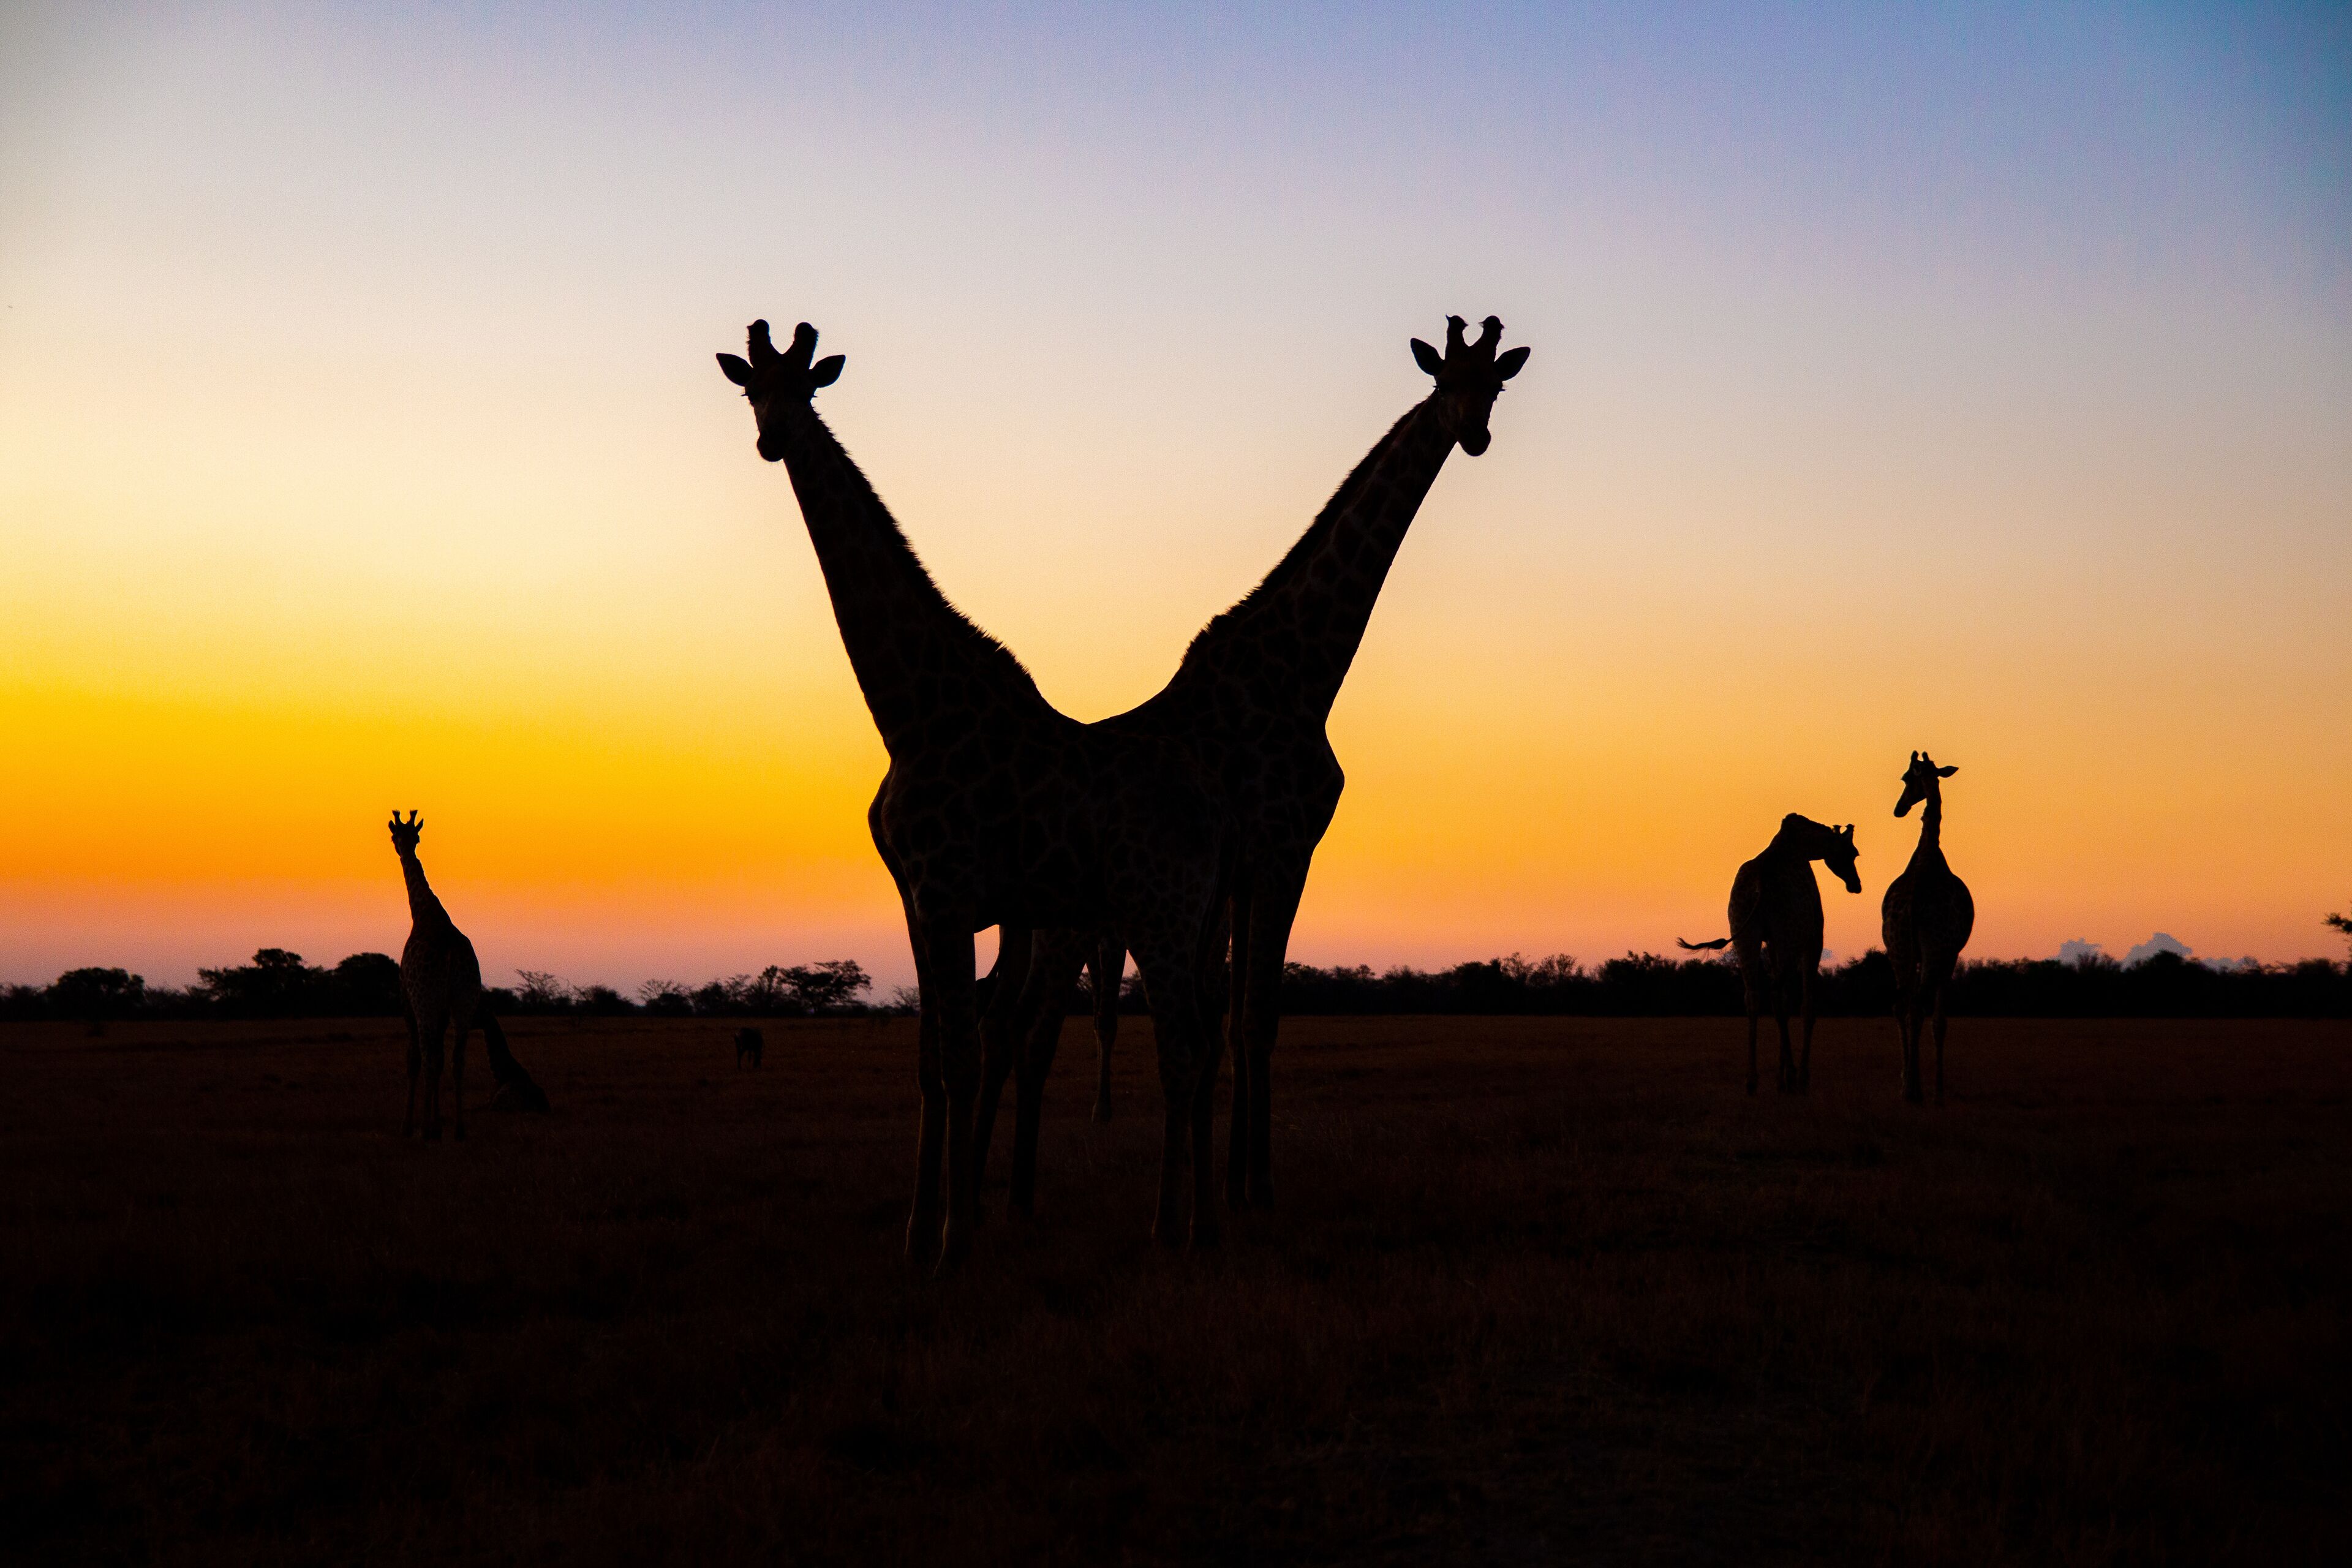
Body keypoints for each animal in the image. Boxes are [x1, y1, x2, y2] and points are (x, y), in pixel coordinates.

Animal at [389, 810, 548, 1140]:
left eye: (399, 836)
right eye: (407, 836)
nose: (401, 849)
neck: (423, 912)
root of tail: (450, 955)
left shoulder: (408, 1001)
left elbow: (415, 1060)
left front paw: (409, 1126)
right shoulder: (448, 1008)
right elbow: (440, 1061)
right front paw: (436, 1122)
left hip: (426, 1002)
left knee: (429, 1057)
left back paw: (426, 1130)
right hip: (465, 1003)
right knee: (456, 1060)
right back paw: (458, 1129)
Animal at [717, 320, 1227, 1268]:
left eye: (807, 389)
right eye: (750, 390)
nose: (774, 440)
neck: (911, 713)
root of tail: (1213, 815)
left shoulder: (952, 893)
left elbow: (959, 1055)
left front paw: (956, 1240)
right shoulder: (917, 900)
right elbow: (929, 1060)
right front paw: (918, 1234)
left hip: (1161, 912)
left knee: (1186, 1045)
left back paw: (1178, 1233)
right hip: (1168, 917)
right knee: (1197, 1040)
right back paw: (1192, 1228)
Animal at [981, 315, 1530, 1219]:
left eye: (1496, 385)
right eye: (1444, 378)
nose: (1474, 433)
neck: (1303, 672)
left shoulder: (1244, 870)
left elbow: (1231, 1023)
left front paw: (1229, 1186)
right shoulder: (1282, 850)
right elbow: (1256, 1019)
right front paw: (1256, 1191)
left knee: (1014, 1023)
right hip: (1070, 922)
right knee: (1031, 1028)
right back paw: (1014, 1196)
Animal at [1679, 814, 1862, 1095]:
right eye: (1852, 852)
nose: (1856, 885)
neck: (1804, 847)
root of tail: (1760, 883)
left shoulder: (1771, 941)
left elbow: (1783, 1001)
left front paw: (1781, 1077)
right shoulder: (1813, 937)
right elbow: (1806, 1005)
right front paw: (1799, 1077)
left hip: (1745, 934)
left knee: (1753, 996)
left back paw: (1753, 1080)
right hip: (1786, 936)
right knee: (1776, 994)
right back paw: (1794, 1077)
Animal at [1882, 751, 1974, 1105]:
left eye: (1908, 778)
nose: (1899, 808)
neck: (1927, 855)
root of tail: (1912, 906)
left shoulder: (1914, 953)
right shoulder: (1950, 954)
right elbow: (1940, 1020)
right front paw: (1939, 1089)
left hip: (1897, 948)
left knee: (1901, 1005)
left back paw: (1907, 1087)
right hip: (1934, 950)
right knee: (1919, 1006)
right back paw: (1919, 1091)